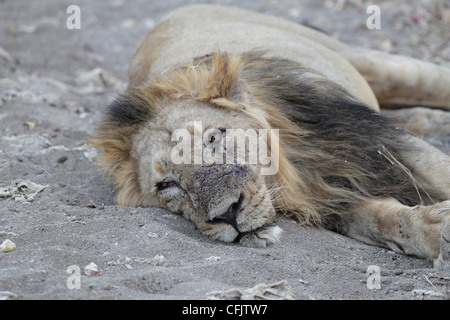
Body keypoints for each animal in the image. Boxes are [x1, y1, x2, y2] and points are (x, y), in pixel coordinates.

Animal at [91, 4, 450, 268]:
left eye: (213, 138)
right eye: (167, 185)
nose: (228, 214)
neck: (294, 171)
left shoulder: (386, 148)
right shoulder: (337, 198)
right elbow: (384, 221)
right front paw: (437, 232)